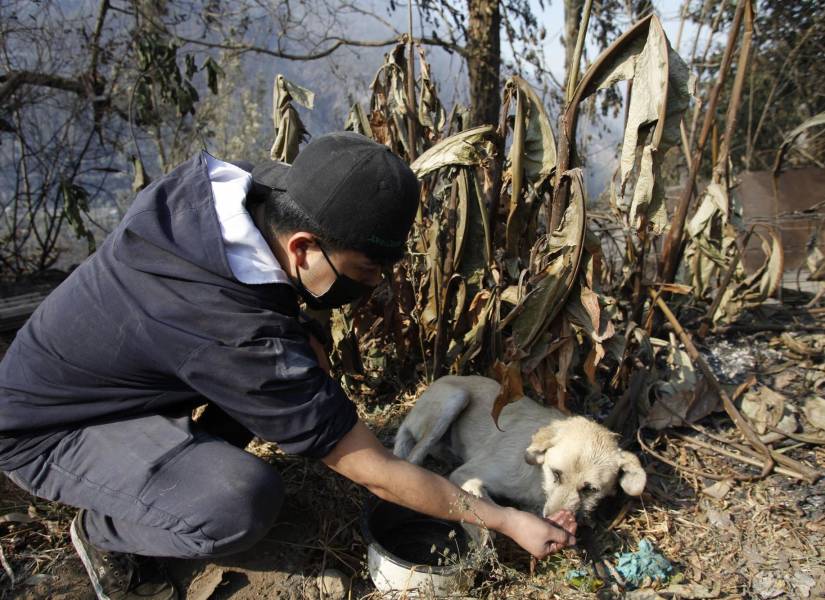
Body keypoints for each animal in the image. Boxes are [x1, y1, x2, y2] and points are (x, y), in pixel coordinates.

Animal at [390, 376, 648, 520]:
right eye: (556, 474)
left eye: (590, 489)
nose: (551, 520)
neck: (537, 479)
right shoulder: (466, 474)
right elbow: (488, 503)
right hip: (455, 398)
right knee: (413, 457)